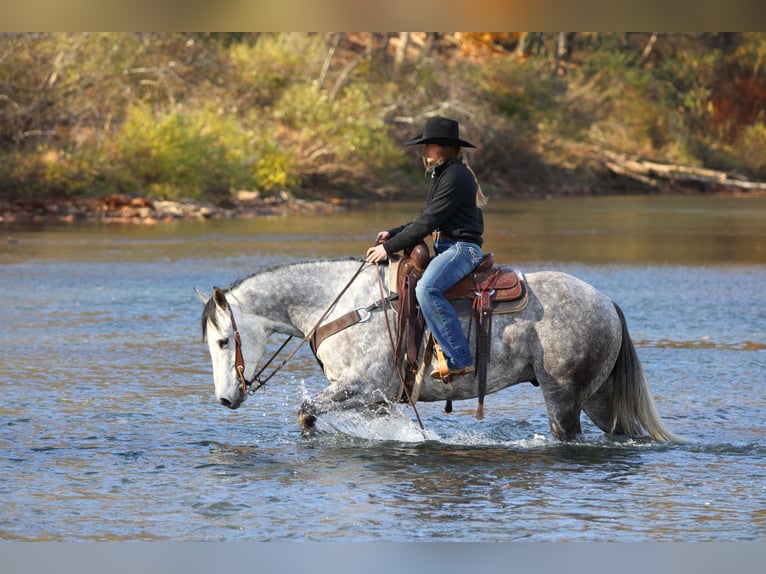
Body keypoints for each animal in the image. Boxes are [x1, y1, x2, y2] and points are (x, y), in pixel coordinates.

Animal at [196, 257, 679, 442]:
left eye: (223, 341)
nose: (225, 398)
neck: (347, 306)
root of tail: (607, 303)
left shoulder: (364, 387)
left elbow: (306, 412)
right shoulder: (380, 400)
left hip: (563, 397)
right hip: (597, 397)